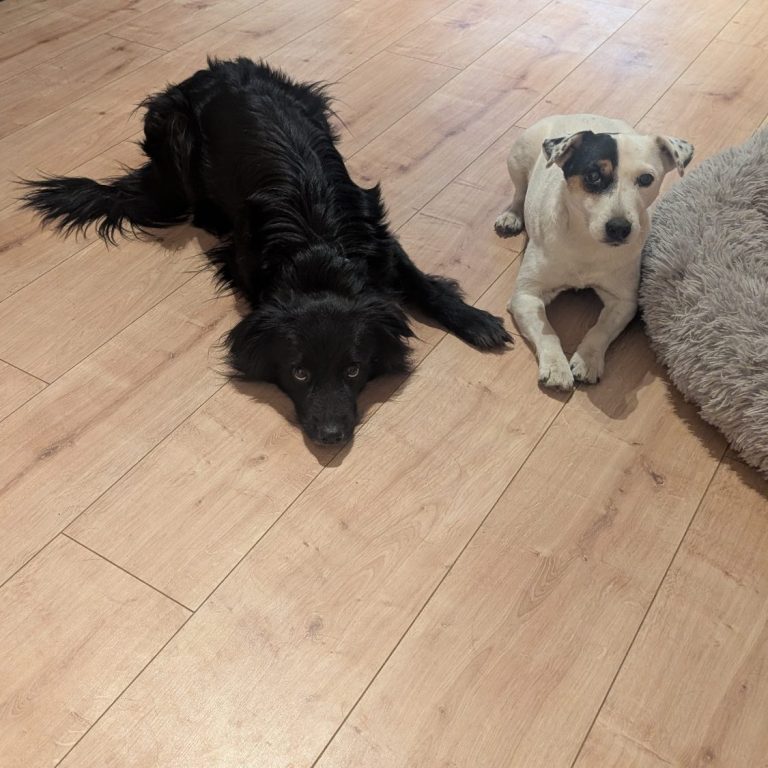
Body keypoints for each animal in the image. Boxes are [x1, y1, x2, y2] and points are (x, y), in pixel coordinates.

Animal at [21, 57, 511, 445]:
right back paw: (209, 215)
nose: (331, 437)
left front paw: (477, 321)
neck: (316, 252)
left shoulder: (380, 238)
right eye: (299, 374)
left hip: (311, 100)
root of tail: (211, 70)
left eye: (354, 371)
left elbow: (423, 283)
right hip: (171, 128)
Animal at [494, 114, 693, 390]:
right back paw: (511, 216)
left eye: (646, 179)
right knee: (519, 192)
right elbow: (548, 333)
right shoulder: (526, 296)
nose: (619, 228)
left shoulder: (623, 302)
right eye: (593, 176)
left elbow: (600, 330)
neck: (586, 241)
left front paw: (587, 360)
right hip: (518, 159)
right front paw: (556, 367)